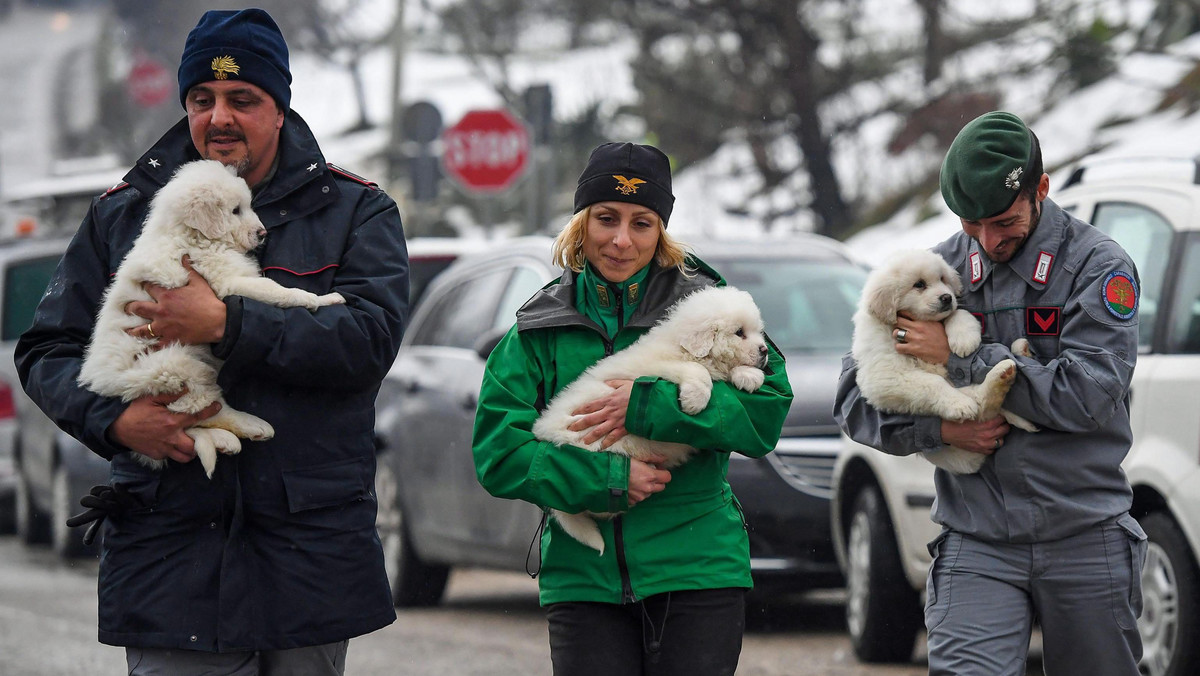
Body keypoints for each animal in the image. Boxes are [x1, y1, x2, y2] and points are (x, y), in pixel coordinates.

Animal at [80, 158, 345, 475]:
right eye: (235, 210)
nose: (262, 234)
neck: (193, 235)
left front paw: (323, 298)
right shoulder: (228, 280)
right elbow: (280, 291)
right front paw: (321, 299)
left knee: (189, 424)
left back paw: (224, 440)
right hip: (177, 369)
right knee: (202, 413)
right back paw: (250, 427)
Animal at [535, 283, 768, 552]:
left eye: (757, 332)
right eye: (739, 333)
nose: (765, 350)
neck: (683, 348)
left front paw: (750, 376)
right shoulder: (657, 368)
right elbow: (697, 370)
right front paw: (694, 401)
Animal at [849, 249, 1036, 475]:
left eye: (942, 280)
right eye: (919, 284)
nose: (947, 297)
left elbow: (958, 313)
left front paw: (964, 339)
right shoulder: (885, 376)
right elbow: (932, 383)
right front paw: (959, 405)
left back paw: (1020, 351)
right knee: (982, 406)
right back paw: (998, 378)